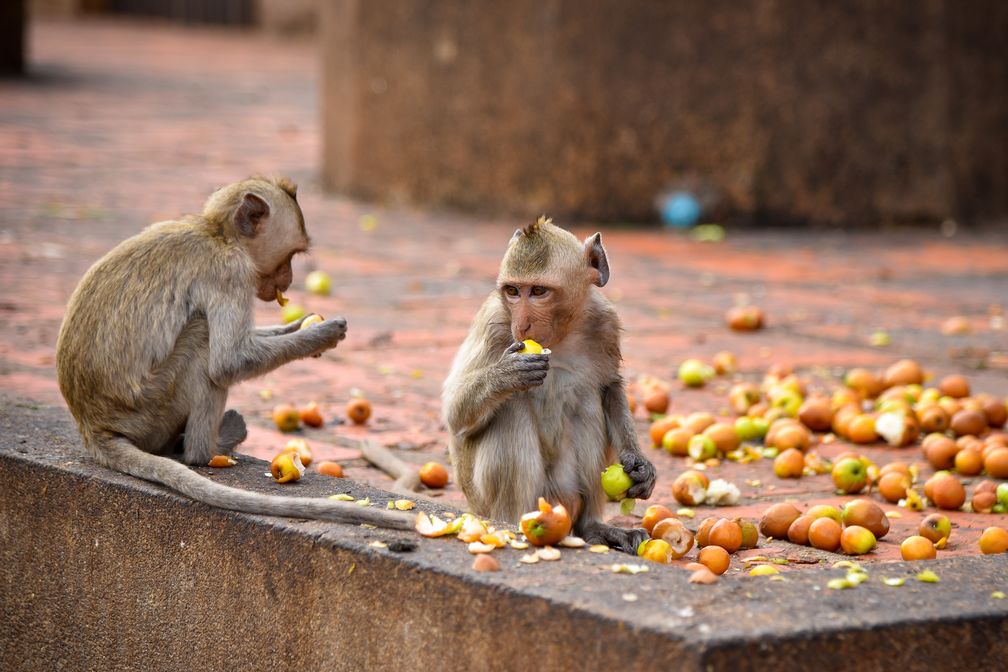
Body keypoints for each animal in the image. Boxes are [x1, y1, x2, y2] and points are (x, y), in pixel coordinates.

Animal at [56, 177, 413, 531]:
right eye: (292, 254)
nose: (289, 279)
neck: (217, 233)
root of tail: (92, 426)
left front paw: (295, 326)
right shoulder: (232, 272)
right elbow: (229, 362)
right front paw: (319, 336)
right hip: (151, 410)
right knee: (202, 339)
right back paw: (206, 450)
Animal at [445, 218, 657, 556]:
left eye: (539, 291)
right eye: (513, 291)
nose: (522, 325)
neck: (561, 335)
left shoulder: (605, 321)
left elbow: (609, 388)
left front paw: (639, 464)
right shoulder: (493, 324)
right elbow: (455, 414)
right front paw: (507, 374)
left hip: (564, 495)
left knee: (586, 402)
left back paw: (590, 527)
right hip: (493, 501)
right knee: (511, 412)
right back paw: (516, 526)